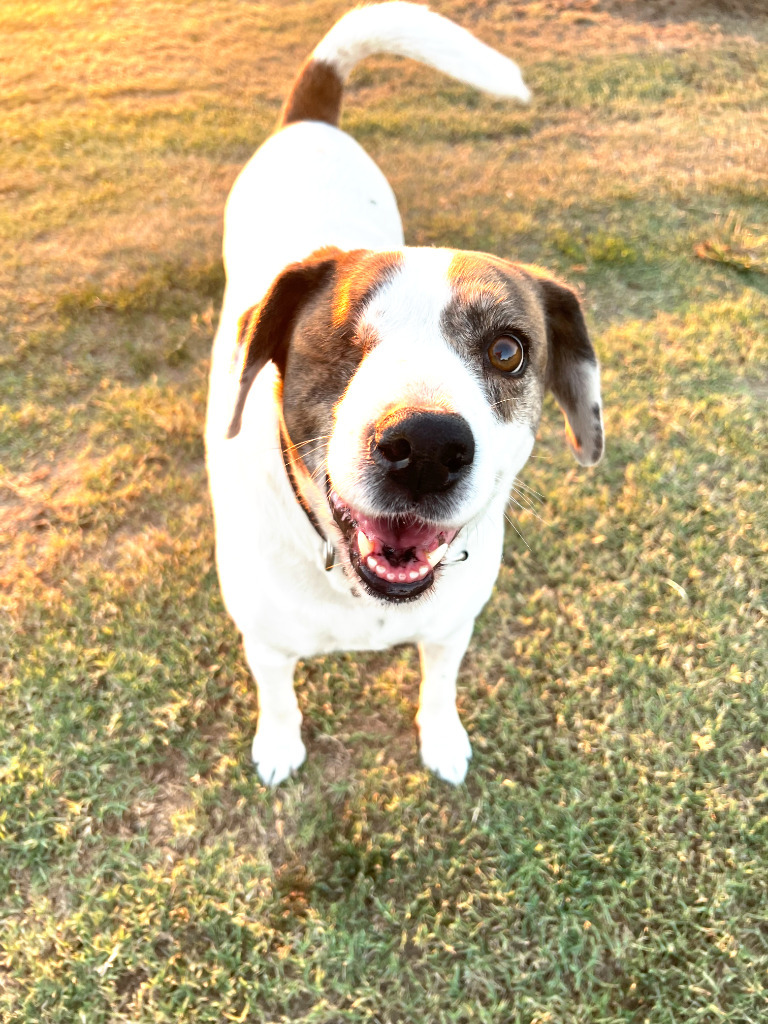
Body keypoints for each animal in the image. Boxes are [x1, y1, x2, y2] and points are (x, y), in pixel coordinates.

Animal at [205, 0, 606, 786]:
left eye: (508, 351)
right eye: (339, 338)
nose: (425, 446)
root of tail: (312, 119)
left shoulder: (452, 627)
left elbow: (440, 684)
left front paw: (442, 739)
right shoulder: (265, 641)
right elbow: (277, 694)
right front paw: (279, 744)